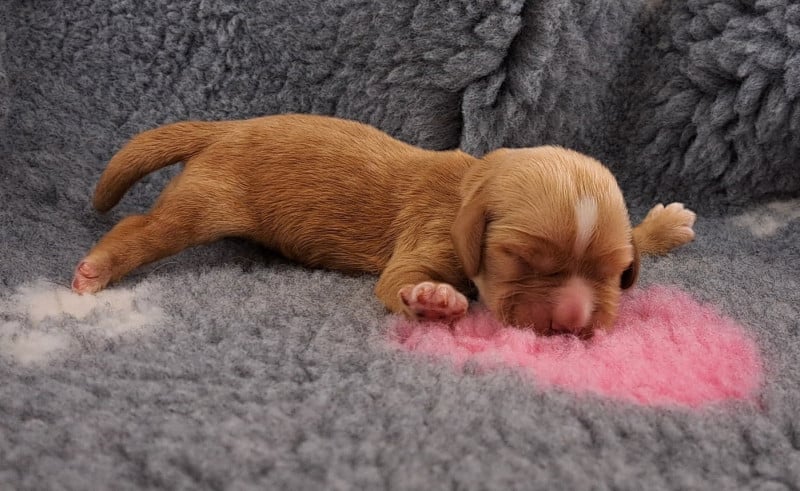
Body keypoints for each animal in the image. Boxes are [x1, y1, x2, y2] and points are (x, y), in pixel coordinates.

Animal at [72, 114, 695, 336]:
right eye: (522, 259)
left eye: (617, 273)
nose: (571, 322)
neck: (470, 183)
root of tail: (225, 127)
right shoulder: (430, 236)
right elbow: (402, 280)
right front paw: (434, 300)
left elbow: (635, 232)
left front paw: (663, 226)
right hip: (205, 201)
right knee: (144, 226)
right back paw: (99, 266)